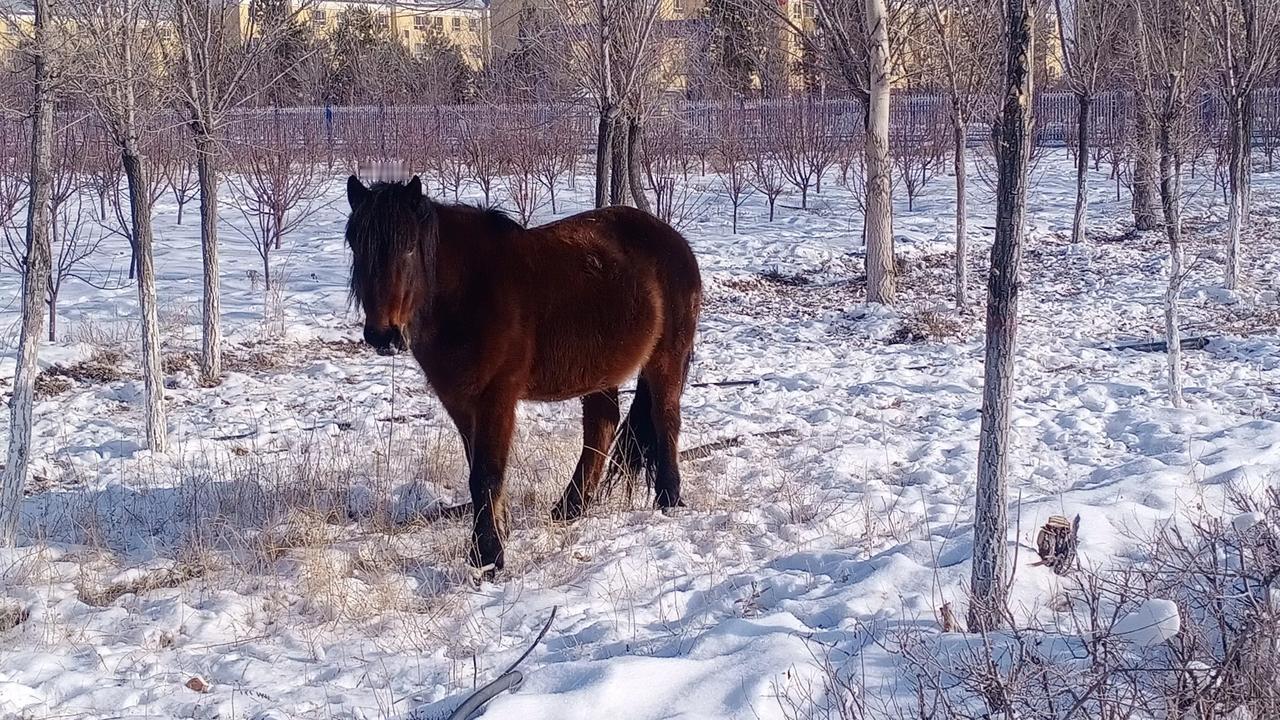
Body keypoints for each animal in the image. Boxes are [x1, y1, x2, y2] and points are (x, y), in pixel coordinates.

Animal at [343, 176, 701, 573]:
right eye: (356, 246)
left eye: (408, 248)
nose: (382, 335)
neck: (468, 293)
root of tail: (673, 240)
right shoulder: (459, 402)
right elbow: (478, 469)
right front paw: (493, 538)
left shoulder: (496, 397)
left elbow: (485, 474)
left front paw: (487, 556)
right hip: (600, 372)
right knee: (602, 426)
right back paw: (570, 507)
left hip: (666, 358)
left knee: (664, 418)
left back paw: (668, 499)